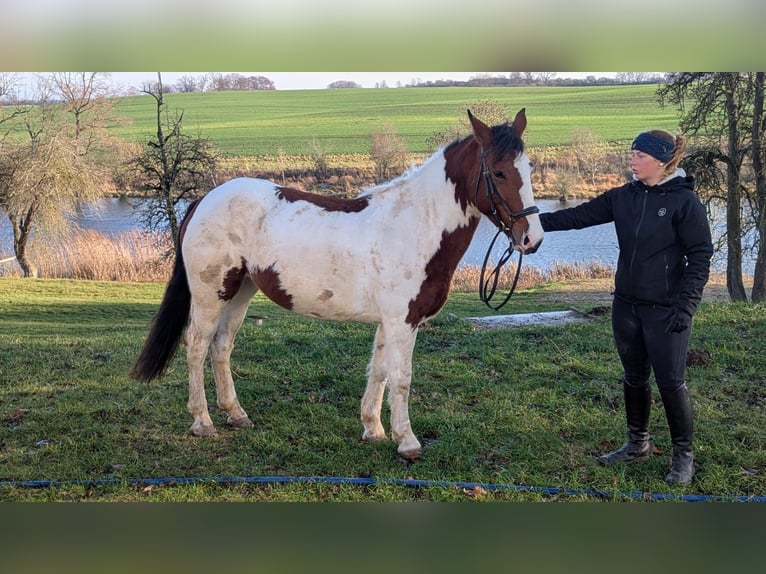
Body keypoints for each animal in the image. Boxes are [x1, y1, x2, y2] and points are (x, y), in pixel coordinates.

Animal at [132, 109, 544, 460]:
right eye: (499, 172)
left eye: (528, 169)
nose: (532, 239)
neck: (412, 226)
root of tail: (204, 198)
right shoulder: (403, 321)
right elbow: (402, 378)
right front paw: (407, 442)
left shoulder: (389, 322)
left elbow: (378, 372)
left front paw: (373, 429)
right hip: (210, 294)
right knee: (197, 347)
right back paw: (202, 422)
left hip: (241, 292)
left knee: (221, 347)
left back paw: (236, 414)